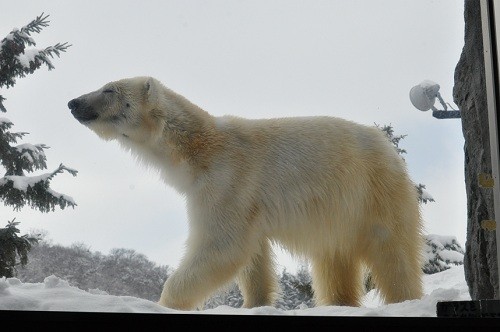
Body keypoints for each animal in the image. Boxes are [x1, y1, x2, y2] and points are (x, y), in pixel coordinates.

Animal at [68, 76, 424, 310]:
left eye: (109, 89)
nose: (72, 102)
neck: (198, 149)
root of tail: (388, 148)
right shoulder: (247, 200)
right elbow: (254, 257)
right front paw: (255, 303)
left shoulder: (227, 182)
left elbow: (222, 245)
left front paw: (165, 303)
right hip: (338, 212)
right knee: (333, 257)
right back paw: (339, 302)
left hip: (373, 192)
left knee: (393, 251)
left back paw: (403, 298)